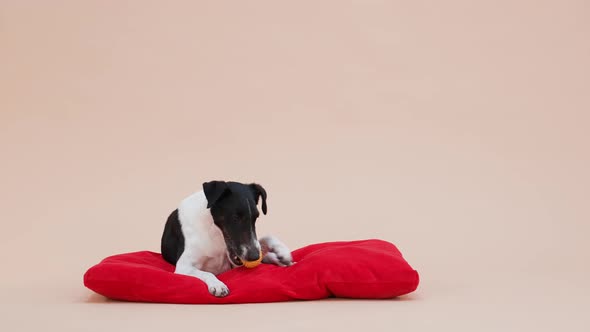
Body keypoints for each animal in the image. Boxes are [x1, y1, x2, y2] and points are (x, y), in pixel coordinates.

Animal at [162, 180, 294, 296]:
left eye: (256, 217)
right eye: (235, 217)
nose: (254, 256)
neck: (215, 232)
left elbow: (266, 238)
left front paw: (282, 251)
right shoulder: (183, 266)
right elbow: (207, 273)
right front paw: (218, 285)